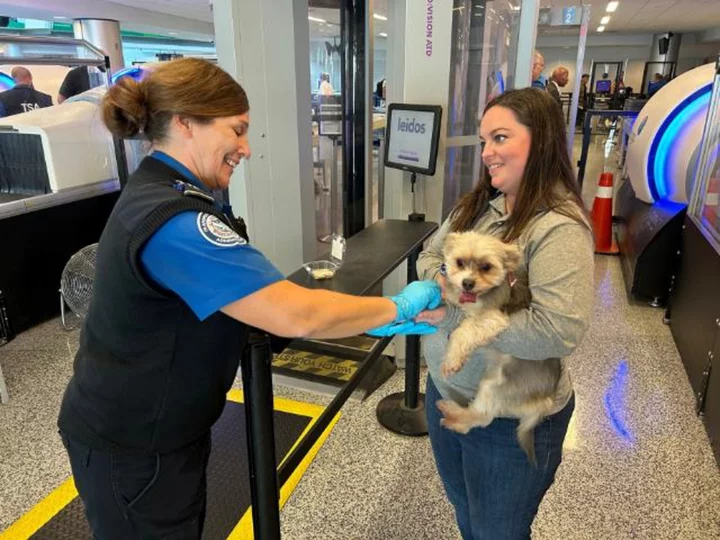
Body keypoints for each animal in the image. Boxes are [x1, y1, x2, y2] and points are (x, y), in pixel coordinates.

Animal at [436, 231, 560, 464]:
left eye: (486, 267)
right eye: (459, 262)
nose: (467, 283)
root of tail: (545, 400)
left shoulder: (492, 318)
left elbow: (462, 331)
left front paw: (452, 359)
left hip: (496, 387)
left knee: (482, 417)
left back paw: (453, 414)